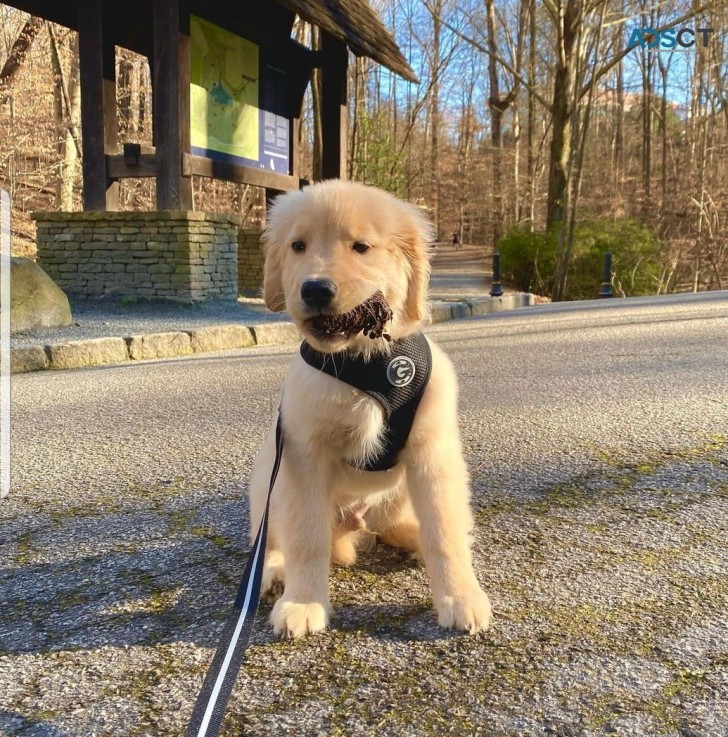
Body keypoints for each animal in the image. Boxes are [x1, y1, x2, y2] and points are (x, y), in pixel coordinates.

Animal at [247, 180, 492, 640]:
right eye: (298, 246)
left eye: (361, 247)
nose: (315, 289)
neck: (367, 360)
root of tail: (353, 526)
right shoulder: (303, 456)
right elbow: (305, 537)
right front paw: (303, 603)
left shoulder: (433, 453)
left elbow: (444, 531)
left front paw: (460, 596)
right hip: (267, 480)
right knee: (272, 539)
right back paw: (275, 574)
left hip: (395, 496)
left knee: (401, 526)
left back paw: (415, 539)